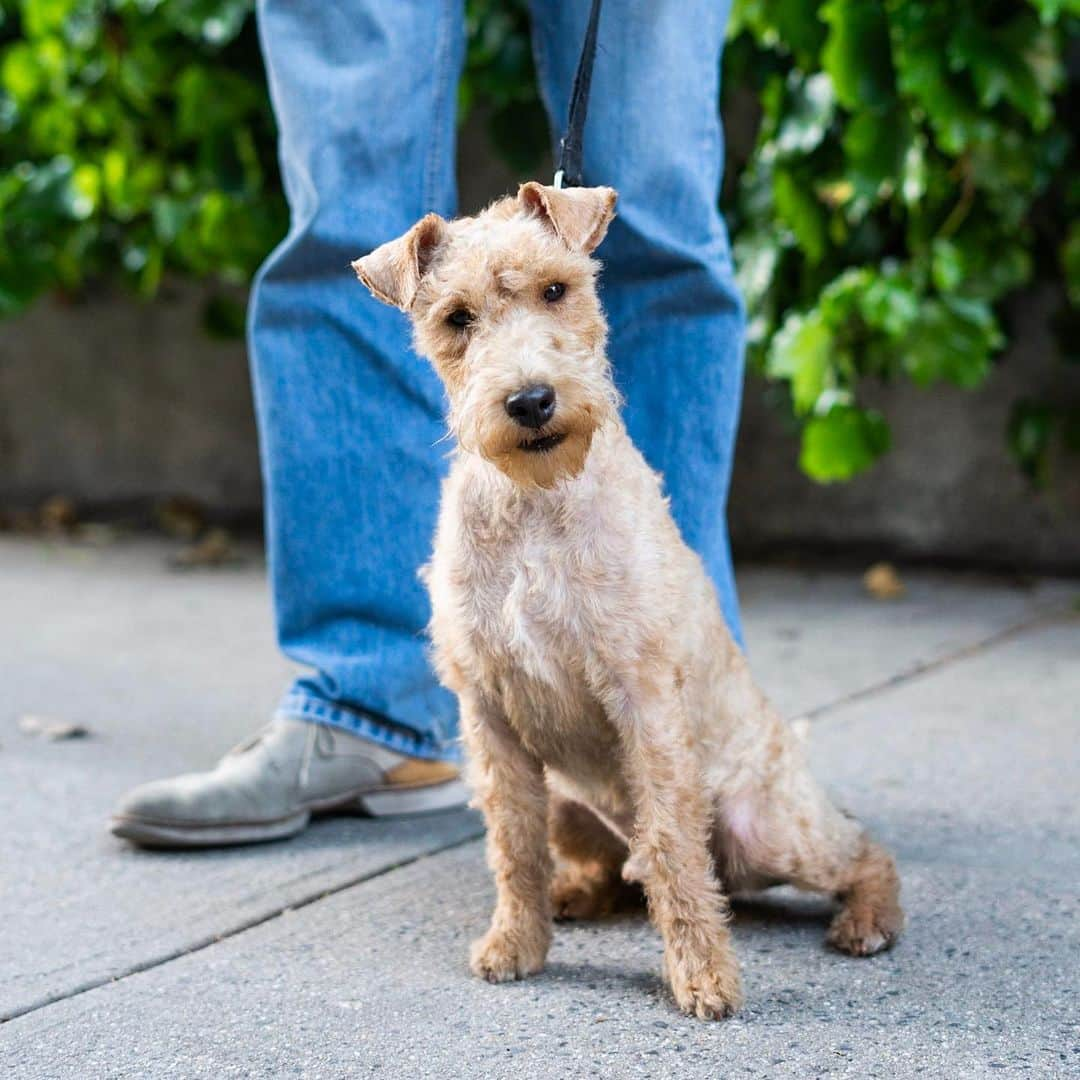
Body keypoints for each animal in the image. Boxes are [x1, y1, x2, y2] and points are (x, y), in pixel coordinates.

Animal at [354, 185, 902, 1019]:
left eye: (557, 289)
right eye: (456, 317)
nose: (531, 401)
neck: (535, 502)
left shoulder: (641, 695)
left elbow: (674, 848)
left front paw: (703, 979)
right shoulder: (488, 712)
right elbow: (513, 846)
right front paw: (515, 944)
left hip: (769, 826)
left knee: (859, 852)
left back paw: (865, 923)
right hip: (572, 804)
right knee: (613, 869)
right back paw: (574, 896)